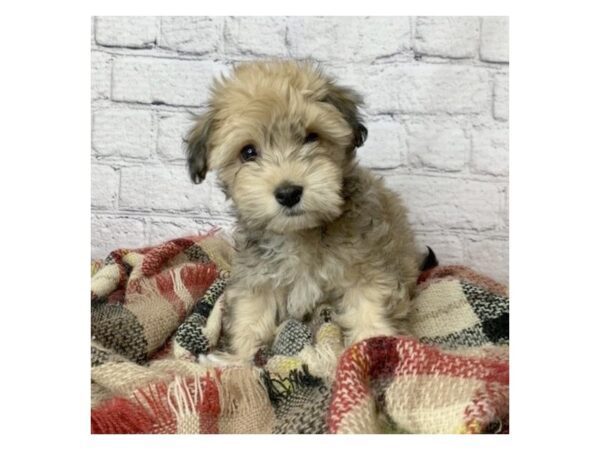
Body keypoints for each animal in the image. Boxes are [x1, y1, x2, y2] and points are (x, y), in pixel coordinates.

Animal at [185, 60, 420, 362]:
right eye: (248, 152)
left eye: (311, 137)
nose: (288, 193)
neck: (300, 233)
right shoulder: (259, 279)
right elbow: (250, 319)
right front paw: (238, 360)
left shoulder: (367, 267)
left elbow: (367, 309)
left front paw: (371, 345)